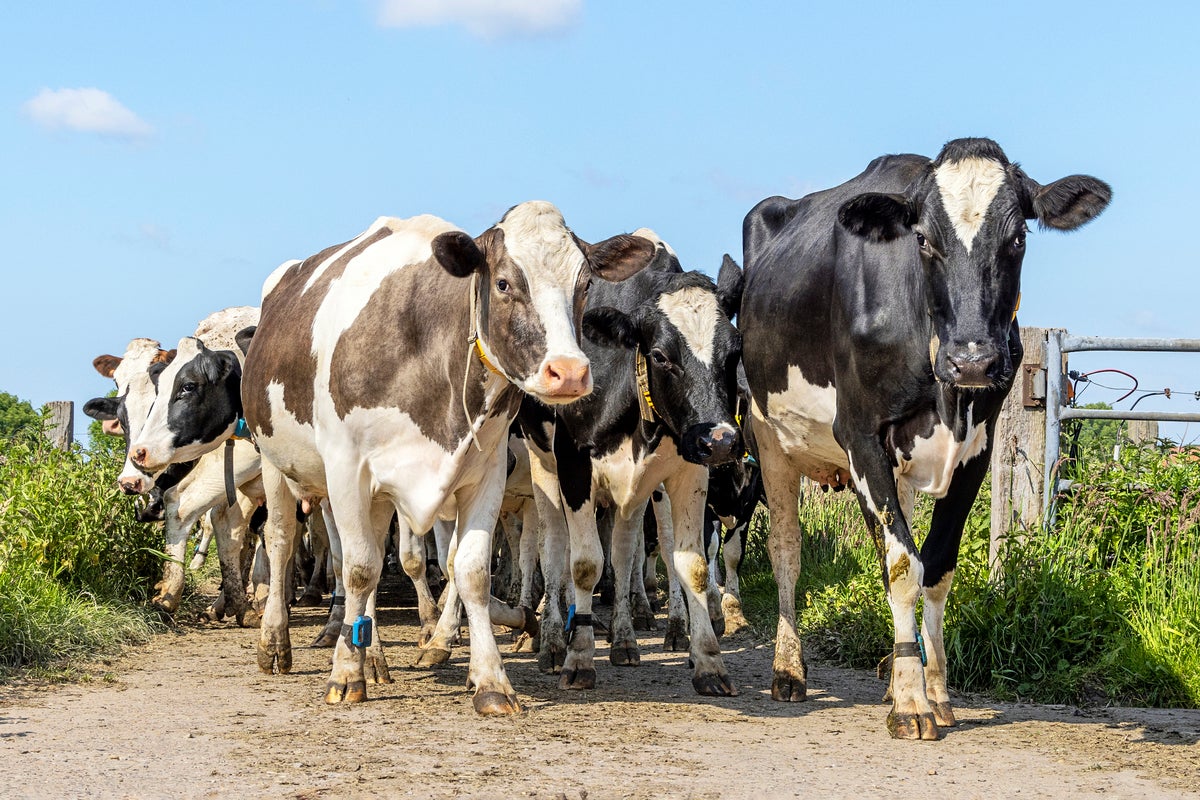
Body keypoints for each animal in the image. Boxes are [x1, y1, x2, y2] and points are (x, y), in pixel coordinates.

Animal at [239, 202, 656, 714]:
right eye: (503, 283)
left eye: (584, 286)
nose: (570, 372)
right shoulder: (346, 469)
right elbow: (357, 569)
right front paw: (344, 674)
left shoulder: (486, 472)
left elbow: (470, 570)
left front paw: (492, 679)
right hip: (275, 461)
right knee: (281, 543)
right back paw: (276, 643)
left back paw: (373, 657)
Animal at [519, 230, 744, 696]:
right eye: (659, 355)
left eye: (734, 351)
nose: (721, 441)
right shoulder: (574, 467)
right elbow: (584, 564)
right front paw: (578, 657)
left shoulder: (687, 471)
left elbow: (691, 565)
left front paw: (709, 663)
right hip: (542, 467)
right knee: (553, 548)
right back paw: (552, 641)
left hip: (637, 493)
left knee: (624, 552)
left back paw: (624, 638)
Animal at [739, 137, 1111, 739]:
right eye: (924, 240)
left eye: (1018, 237)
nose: (973, 359)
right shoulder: (860, 435)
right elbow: (900, 566)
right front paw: (910, 701)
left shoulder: (977, 450)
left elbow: (933, 566)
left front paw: (932, 690)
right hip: (769, 438)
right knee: (785, 550)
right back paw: (789, 670)